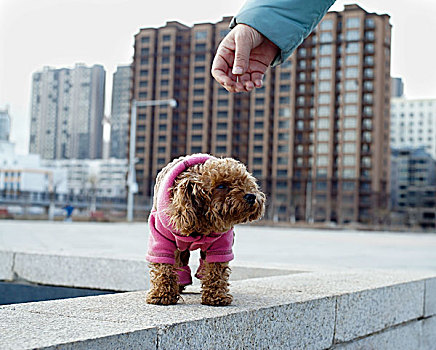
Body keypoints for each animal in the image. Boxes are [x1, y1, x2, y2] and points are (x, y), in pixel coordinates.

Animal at [146, 154, 266, 306]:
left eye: (244, 181)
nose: (251, 196)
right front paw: (162, 294)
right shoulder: (161, 238)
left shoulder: (220, 242)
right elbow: (164, 265)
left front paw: (216, 296)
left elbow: (216, 269)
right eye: (221, 186)